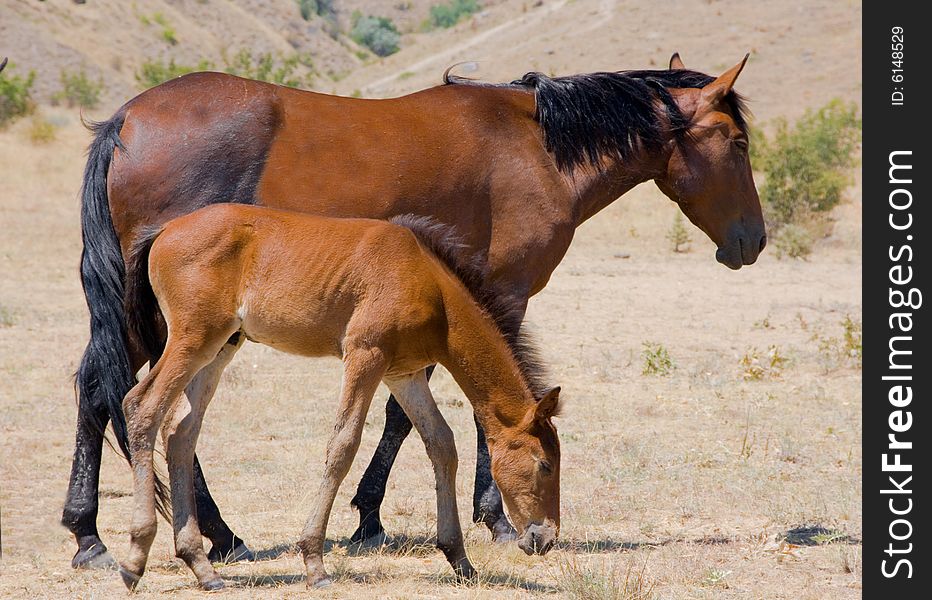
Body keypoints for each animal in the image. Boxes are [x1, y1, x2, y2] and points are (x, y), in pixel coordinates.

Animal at [120, 204, 564, 588]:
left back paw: (202, 567)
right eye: (544, 465)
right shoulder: (366, 355)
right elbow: (344, 444)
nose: (545, 538)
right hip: (194, 339)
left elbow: (441, 444)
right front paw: (314, 562)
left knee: (180, 430)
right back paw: (134, 558)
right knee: (141, 407)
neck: (428, 283)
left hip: (221, 345)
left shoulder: (404, 374)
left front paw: (459, 560)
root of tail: (165, 230)